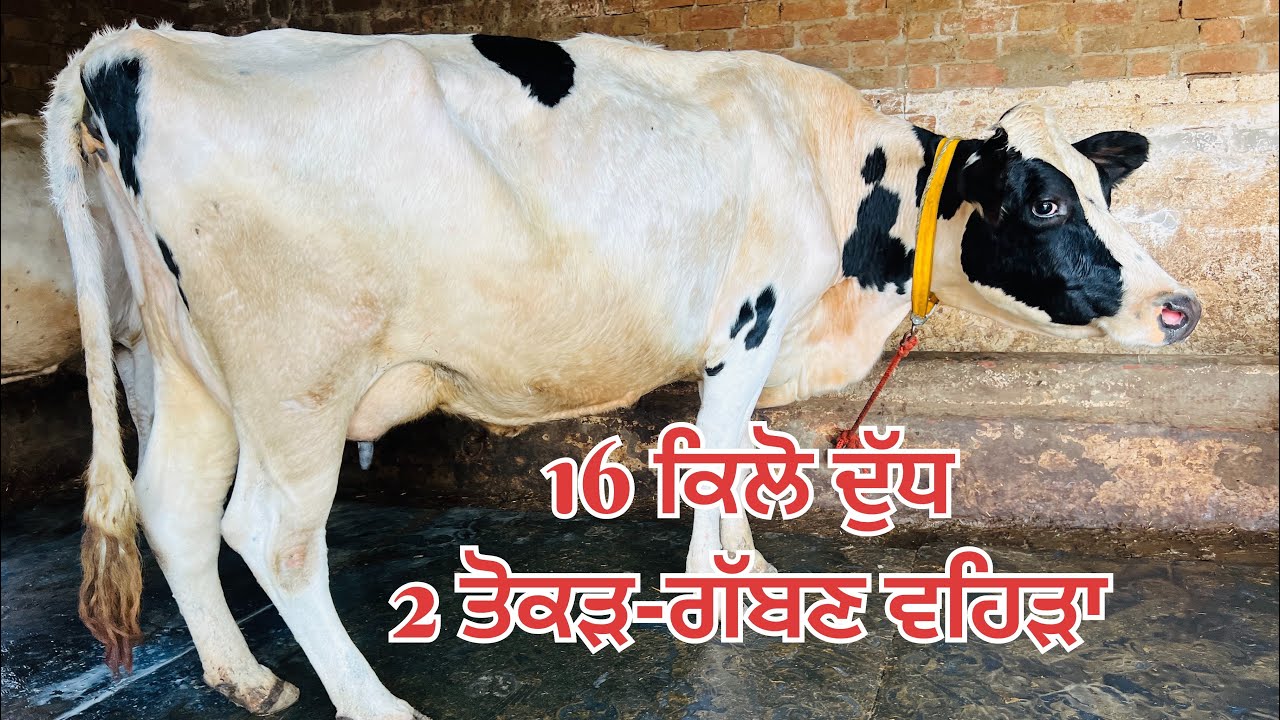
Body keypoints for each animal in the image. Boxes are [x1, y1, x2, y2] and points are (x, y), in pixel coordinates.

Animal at [45, 25, 1201, 719]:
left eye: (1104, 187)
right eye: (1043, 202)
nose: (1179, 306)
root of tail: (128, 46)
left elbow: (735, 457)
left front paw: (744, 565)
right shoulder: (747, 325)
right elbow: (722, 452)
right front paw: (722, 584)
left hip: (182, 364)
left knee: (175, 507)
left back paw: (244, 678)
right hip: (297, 377)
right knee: (269, 537)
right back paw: (373, 704)